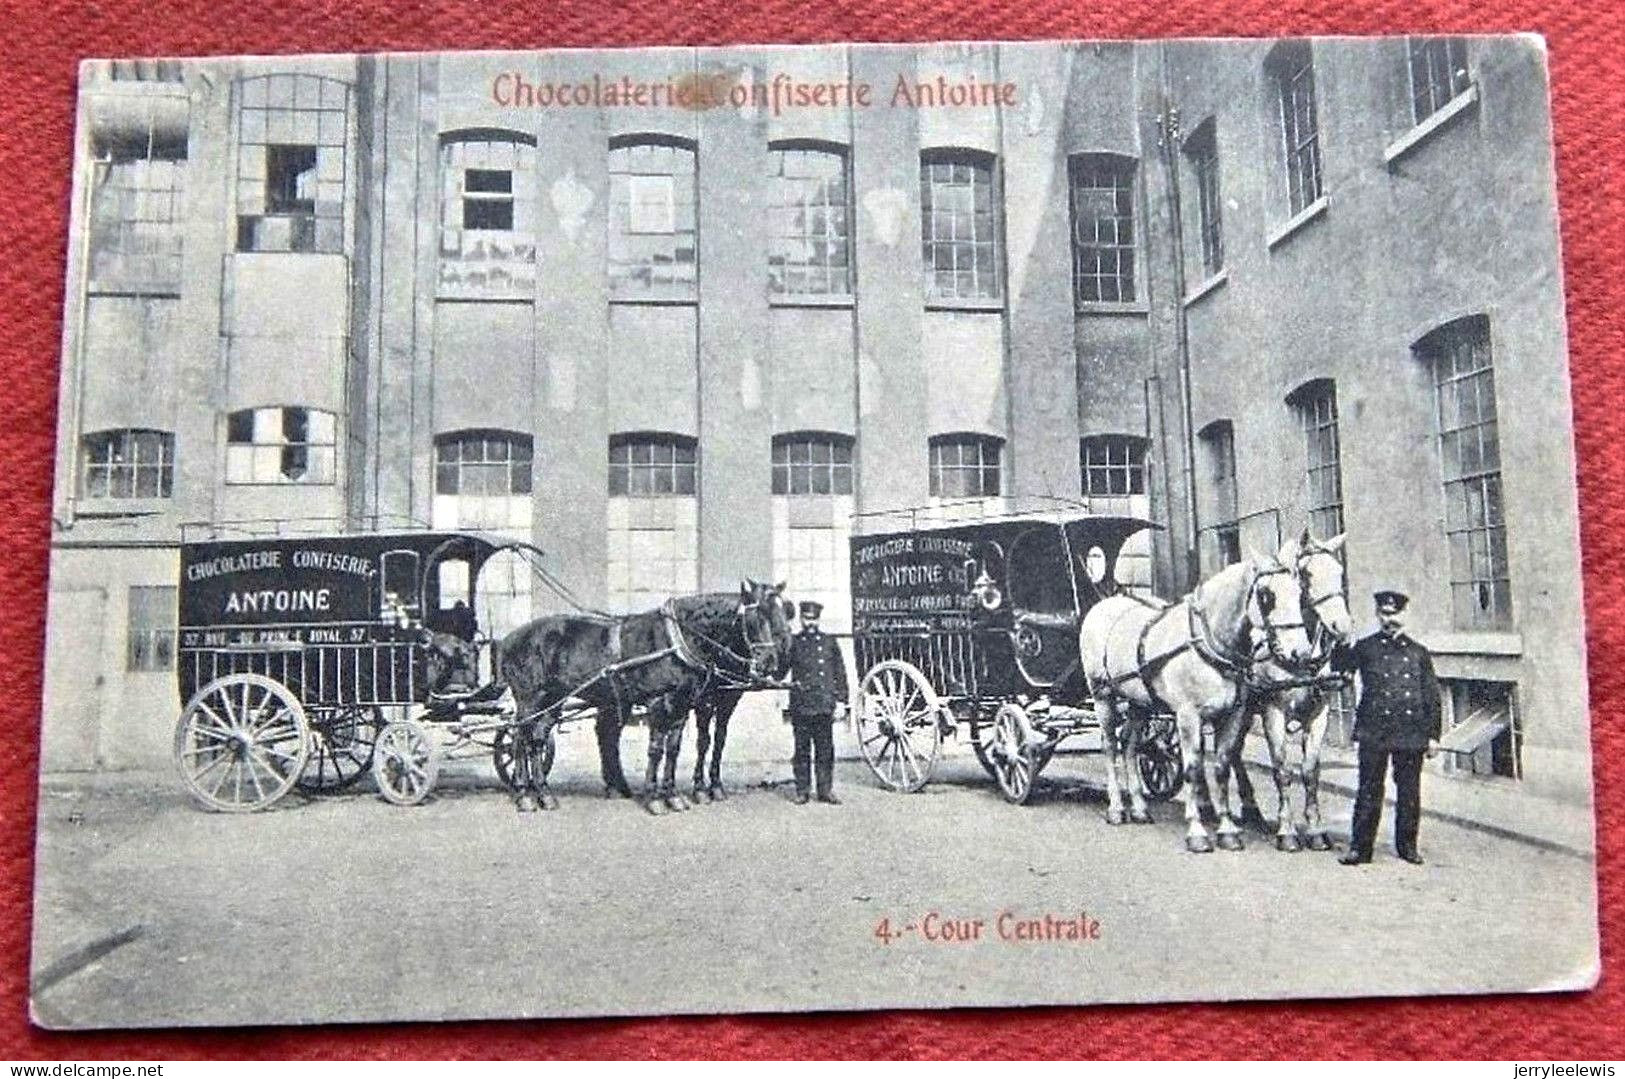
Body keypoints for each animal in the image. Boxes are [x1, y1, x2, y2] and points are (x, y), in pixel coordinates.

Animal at [497, 578, 796, 812]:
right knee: (519, 739)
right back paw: (524, 793)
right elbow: (658, 749)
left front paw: (673, 795)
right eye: (757, 618)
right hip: (529, 699)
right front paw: (656, 798)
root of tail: (509, 639)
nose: (773, 662)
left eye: (784, 613)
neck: (680, 640)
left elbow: (675, 748)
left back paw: (544, 792)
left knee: (538, 738)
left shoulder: (683, 703)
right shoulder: (662, 704)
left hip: (552, 700)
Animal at [1079, 536, 1319, 851]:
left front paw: (1228, 829)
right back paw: (1117, 808)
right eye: (1266, 595)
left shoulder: (1232, 715)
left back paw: (1140, 808)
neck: (1209, 641)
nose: (1299, 653)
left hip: (1139, 702)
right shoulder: (1188, 716)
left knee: (1129, 744)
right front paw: (1197, 832)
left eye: (1300, 591)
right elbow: (1193, 769)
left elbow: (1221, 767)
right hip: (1102, 695)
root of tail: (1105, 604)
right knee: (1110, 746)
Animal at [1228, 529, 1358, 851]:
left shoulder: (1319, 713)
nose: (1342, 626)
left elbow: (1310, 771)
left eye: (1339, 571)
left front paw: (1316, 831)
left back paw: (1251, 810)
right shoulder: (1273, 712)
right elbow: (1282, 770)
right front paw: (1286, 831)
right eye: (1308, 575)